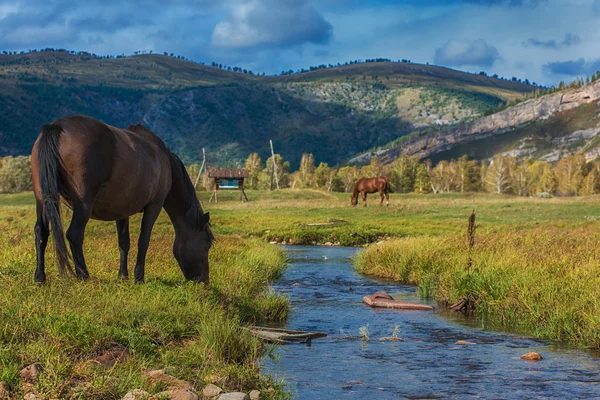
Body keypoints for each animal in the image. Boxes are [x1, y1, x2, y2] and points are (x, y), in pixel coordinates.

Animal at [30, 115, 214, 284]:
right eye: (207, 244)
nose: (204, 281)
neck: (163, 159)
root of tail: (58, 125)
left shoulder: (121, 210)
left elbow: (124, 242)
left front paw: (123, 276)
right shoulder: (154, 205)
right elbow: (143, 241)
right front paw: (138, 277)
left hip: (42, 200)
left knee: (41, 232)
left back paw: (40, 277)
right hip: (83, 204)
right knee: (74, 234)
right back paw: (84, 276)